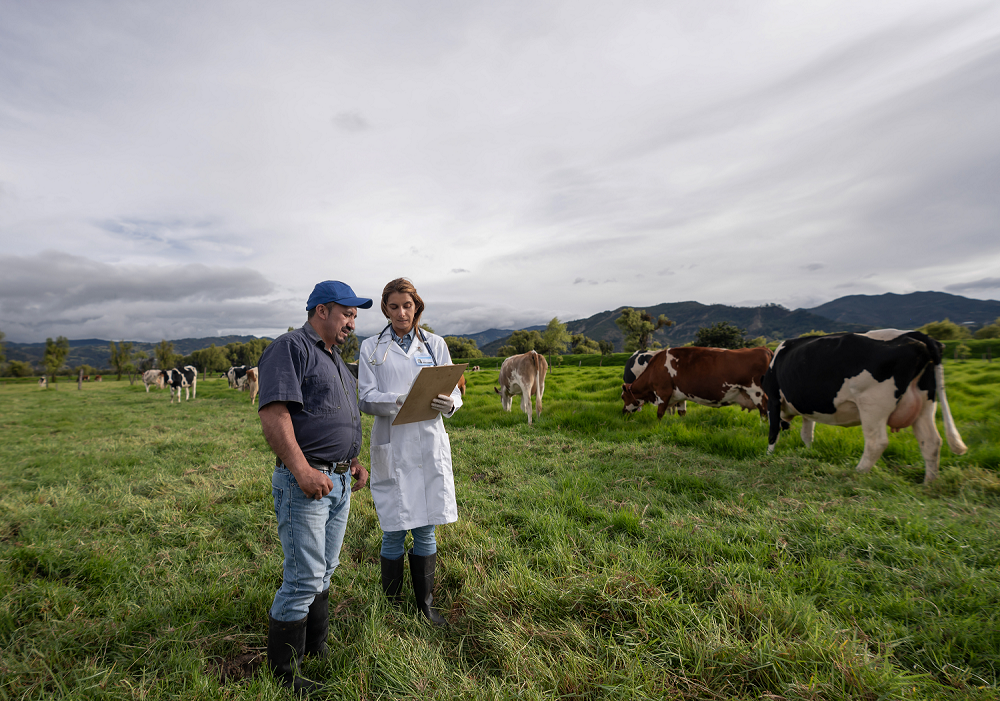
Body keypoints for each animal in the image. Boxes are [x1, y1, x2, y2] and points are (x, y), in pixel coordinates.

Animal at [616, 346, 772, 418]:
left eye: (623, 397)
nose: (623, 412)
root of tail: (763, 349)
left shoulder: (663, 392)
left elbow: (660, 414)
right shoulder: (679, 395)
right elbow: (681, 412)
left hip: (757, 393)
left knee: (766, 414)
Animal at [760, 328, 964, 482]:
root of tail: (917, 335)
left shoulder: (773, 399)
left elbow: (773, 431)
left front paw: (768, 457)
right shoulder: (806, 408)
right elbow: (806, 434)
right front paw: (809, 453)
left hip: (872, 405)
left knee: (877, 443)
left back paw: (856, 473)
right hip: (925, 404)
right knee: (931, 442)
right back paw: (929, 483)